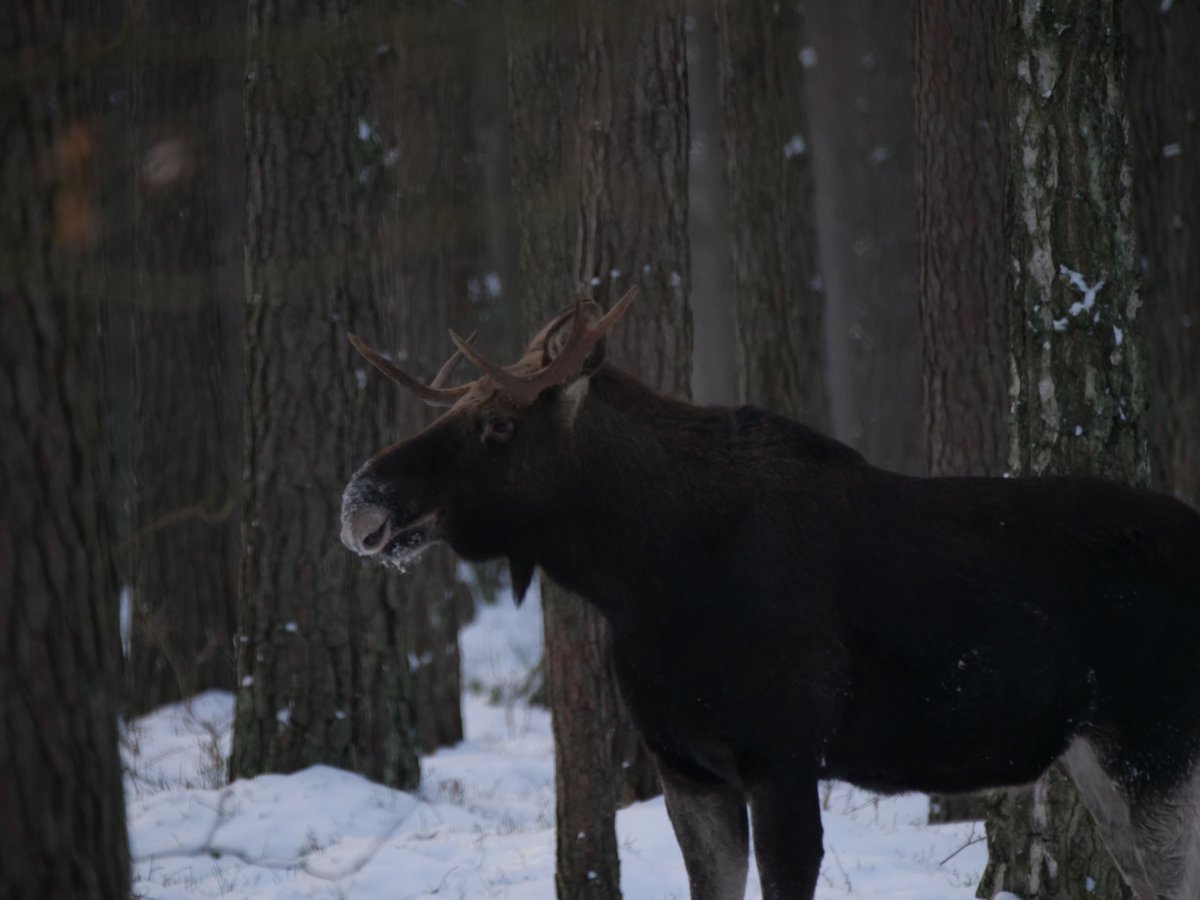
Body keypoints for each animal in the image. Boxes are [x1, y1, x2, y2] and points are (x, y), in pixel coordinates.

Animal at [341, 289, 1200, 900]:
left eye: (496, 425)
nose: (360, 498)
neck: (644, 581)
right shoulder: (687, 768)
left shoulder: (782, 758)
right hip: (1099, 755)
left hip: (1157, 746)